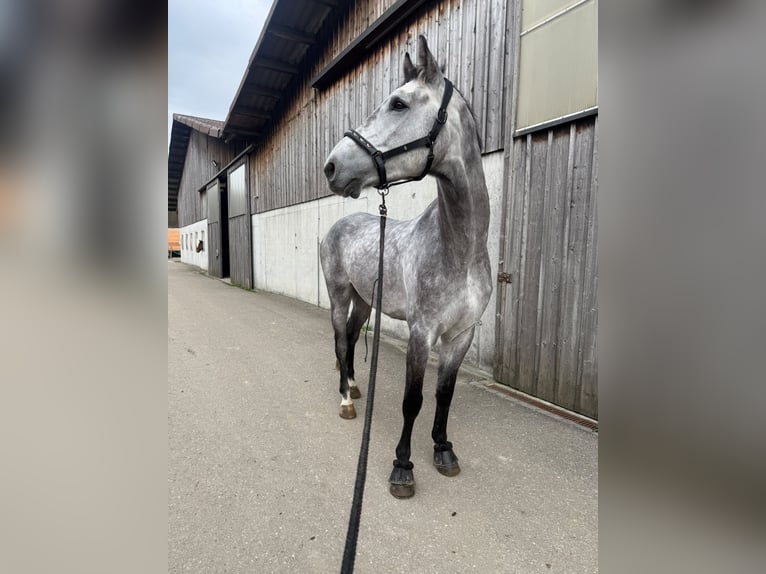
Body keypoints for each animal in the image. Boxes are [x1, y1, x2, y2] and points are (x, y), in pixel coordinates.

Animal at [319, 35, 492, 498]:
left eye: (398, 103)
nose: (331, 167)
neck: (459, 251)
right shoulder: (421, 333)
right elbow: (412, 401)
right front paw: (403, 466)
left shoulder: (460, 335)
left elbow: (444, 395)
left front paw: (443, 450)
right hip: (339, 296)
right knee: (340, 341)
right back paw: (345, 401)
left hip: (364, 301)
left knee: (352, 339)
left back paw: (354, 385)